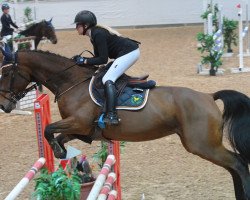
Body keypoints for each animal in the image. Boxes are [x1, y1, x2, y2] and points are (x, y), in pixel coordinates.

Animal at [0, 50, 250, 200]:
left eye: (6, 73)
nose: (4, 105)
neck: (71, 83)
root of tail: (209, 96)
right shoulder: (81, 129)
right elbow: (58, 136)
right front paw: (62, 152)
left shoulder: (78, 123)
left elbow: (48, 129)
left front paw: (59, 151)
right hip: (204, 145)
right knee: (233, 166)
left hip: (202, 145)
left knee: (237, 163)